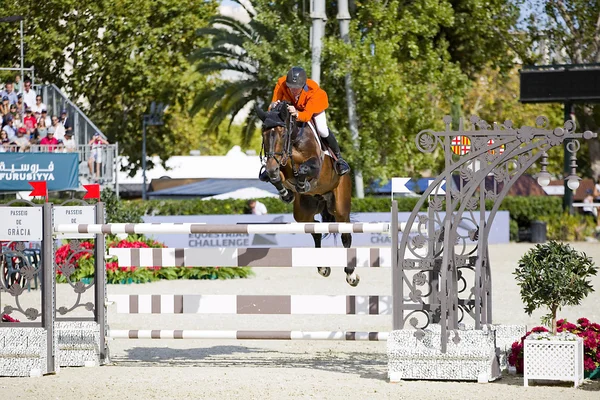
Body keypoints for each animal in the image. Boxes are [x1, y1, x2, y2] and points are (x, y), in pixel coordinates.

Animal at [255, 101, 358, 286]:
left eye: (283, 134)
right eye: (263, 135)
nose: (271, 167)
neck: (294, 141)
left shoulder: (315, 165)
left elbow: (303, 169)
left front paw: (302, 183)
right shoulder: (281, 167)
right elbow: (277, 177)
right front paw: (286, 193)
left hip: (340, 206)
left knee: (345, 235)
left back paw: (351, 274)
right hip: (303, 211)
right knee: (315, 228)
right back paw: (323, 267)